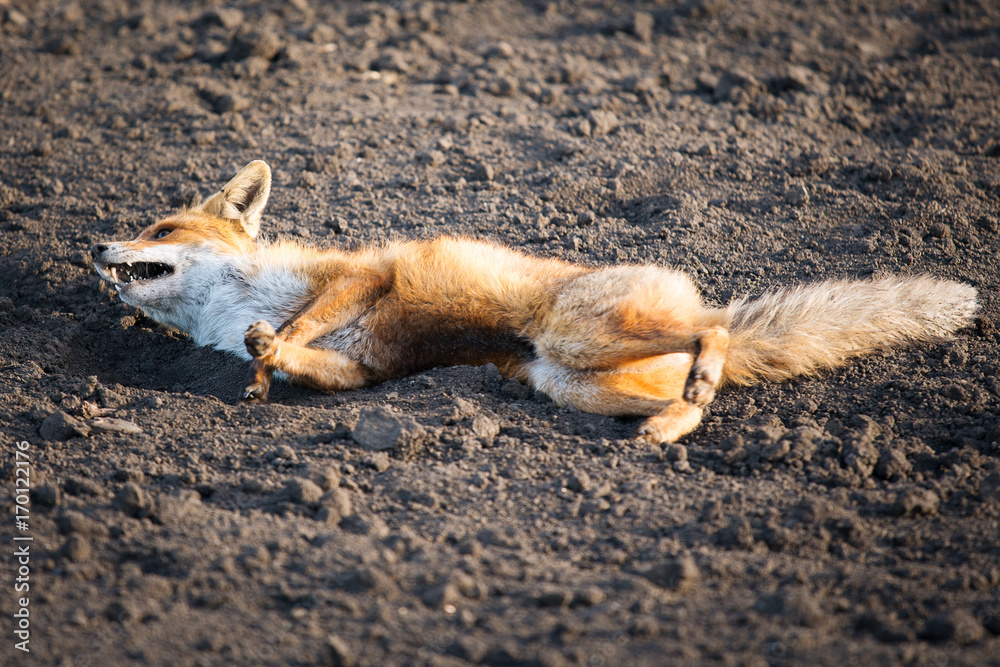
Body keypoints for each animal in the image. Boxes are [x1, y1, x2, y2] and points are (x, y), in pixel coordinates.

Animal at [92, 160, 979, 443]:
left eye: (161, 227)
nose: (96, 248)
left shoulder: (358, 278)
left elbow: (290, 328)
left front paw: (265, 353)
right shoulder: (363, 368)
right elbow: (294, 358)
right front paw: (260, 373)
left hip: (582, 336)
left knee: (715, 329)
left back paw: (700, 373)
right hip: (575, 381)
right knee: (700, 385)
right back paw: (674, 421)